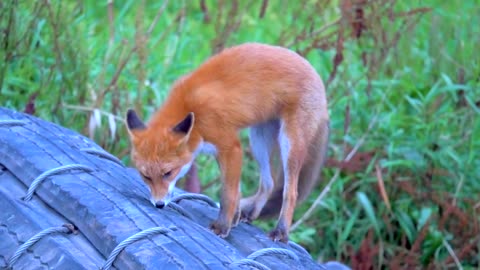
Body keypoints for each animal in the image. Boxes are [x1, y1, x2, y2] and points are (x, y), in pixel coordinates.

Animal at [125, 42, 330, 243]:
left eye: (168, 173)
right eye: (146, 176)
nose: (158, 204)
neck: (191, 108)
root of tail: (316, 76)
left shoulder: (231, 147)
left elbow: (228, 194)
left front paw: (222, 226)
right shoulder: (220, 151)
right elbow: (237, 190)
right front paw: (235, 217)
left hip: (289, 144)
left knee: (291, 192)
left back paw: (281, 231)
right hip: (258, 139)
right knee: (269, 183)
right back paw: (251, 213)